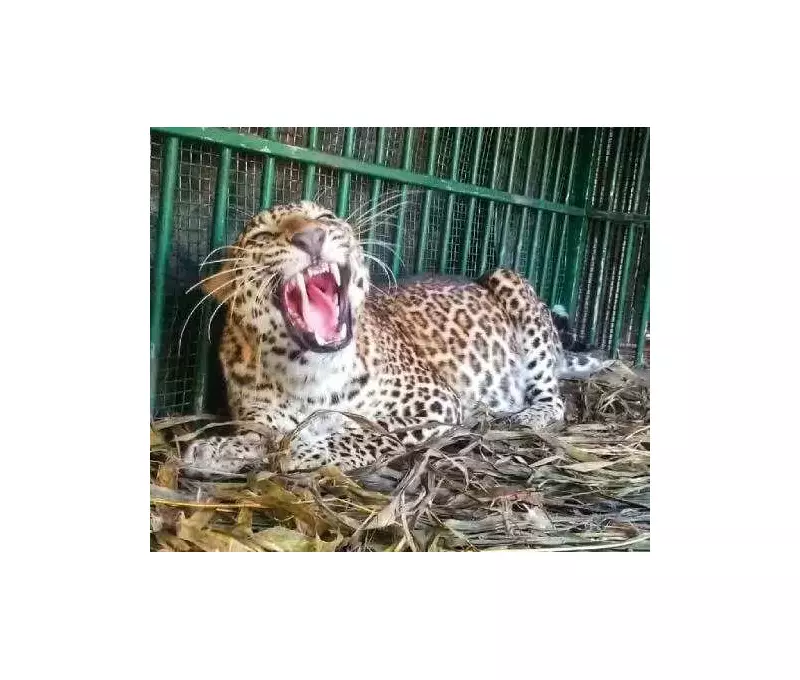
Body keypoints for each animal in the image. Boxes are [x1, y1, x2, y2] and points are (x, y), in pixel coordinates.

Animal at [182, 200, 612, 475]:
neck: (310, 373)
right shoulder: (261, 419)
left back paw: (522, 416)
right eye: (263, 234)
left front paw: (307, 449)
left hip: (509, 280)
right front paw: (213, 449)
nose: (312, 237)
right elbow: (259, 436)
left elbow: (369, 430)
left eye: (324, 217)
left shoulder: (437, 404)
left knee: (555, 401)